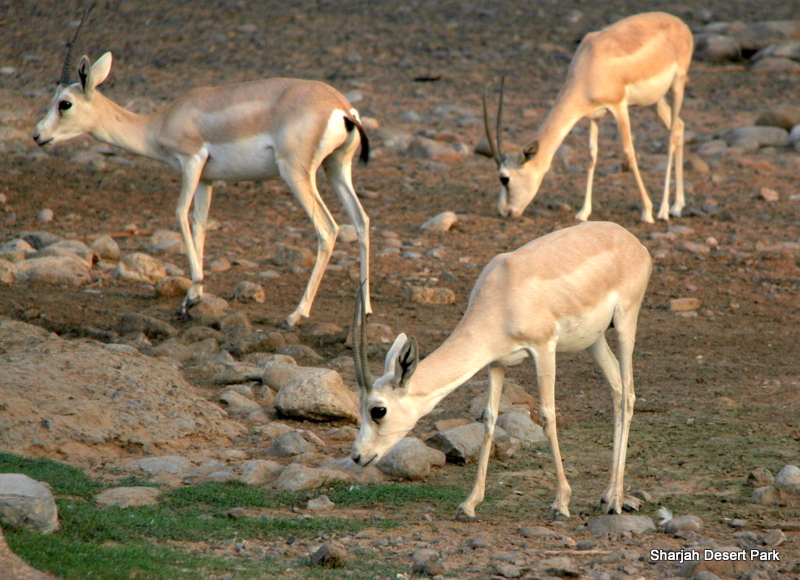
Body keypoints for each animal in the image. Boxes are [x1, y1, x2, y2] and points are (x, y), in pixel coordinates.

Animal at [33, 9, 371, 328]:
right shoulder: (208, 179)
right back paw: (365, 310)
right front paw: (192, 297)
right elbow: (200, 224)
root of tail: (341, 106)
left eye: (64, 103)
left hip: (296, 173)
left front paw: (194, 291)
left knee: (328, 229)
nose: (37, 135)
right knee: (361, 220)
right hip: (336, 169)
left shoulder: (191, 162)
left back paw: (296, 315)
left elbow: (180, 212)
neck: (160, 122)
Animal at [351, 221, 652, 519]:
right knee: (616, 388)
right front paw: (469, 504)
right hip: (594, 340)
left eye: (378, 410)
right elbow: (489, 419)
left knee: (627, 395)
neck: (503, 293)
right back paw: (608, 495)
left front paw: (561, 503)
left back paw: (615, 501)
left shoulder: (544, 349)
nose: (357, 456)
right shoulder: (496, 362)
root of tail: (629, 239)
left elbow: (547, 415)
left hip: (625, 324)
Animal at [481, 12, 693, 223]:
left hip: (677, 86)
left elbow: (629, 153)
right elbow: (592, 155)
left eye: (504, 178)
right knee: (679, 127)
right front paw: (583, 212)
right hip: (654, 101)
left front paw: (647, 212)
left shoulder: (619, 107)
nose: (505, 211)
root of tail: (679, 23)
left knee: (671, 136)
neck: (589, 64)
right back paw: (677, 206)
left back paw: (664, 210)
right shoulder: (594, 115)